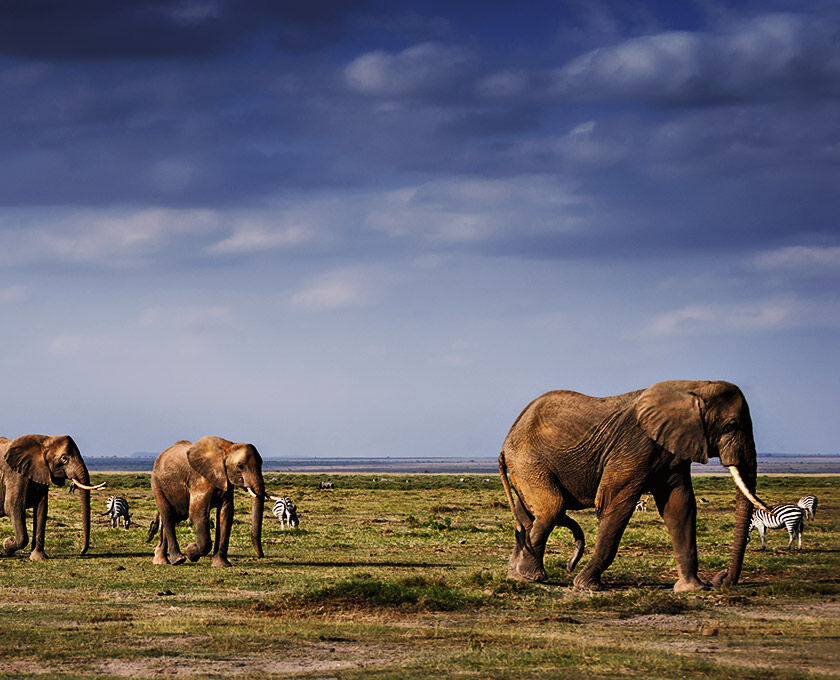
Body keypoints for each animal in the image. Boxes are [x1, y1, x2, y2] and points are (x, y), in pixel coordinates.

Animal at [0, 432, 105, 560]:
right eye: (64, 458)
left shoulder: (41, 472)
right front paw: (7, 544)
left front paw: (38, 558)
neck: (44, 440)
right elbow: (13, 507)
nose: (81, 552)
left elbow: (41, 508)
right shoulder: (15, 474)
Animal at [146, 436, 274, 568]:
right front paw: (191, 550)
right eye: (240, 466)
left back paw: (161, 561)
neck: (227, 448)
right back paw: (178, 560)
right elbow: (197, 513)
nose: (261, 556)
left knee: (173, 518)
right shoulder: (200, 479)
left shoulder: (225, 481)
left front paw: (221, 565)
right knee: (168, 516)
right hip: (157, 485)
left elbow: (226, 513)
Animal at [498, 380, 776, 592]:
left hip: (525, 468)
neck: (691, 386)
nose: (721, 579)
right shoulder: (634, 447)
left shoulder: (671, 450)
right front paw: (587, 586)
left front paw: (692, 589)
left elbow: (680, 507)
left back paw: (515, 573)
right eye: (731, 426)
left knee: (527, 516)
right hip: (528, 462)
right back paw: (530, 577)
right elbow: (614, 504)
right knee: (552, 509)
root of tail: (507, 440)